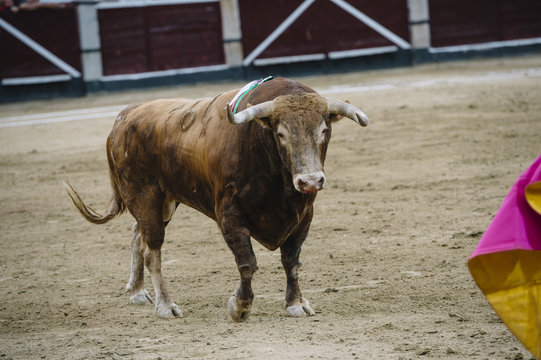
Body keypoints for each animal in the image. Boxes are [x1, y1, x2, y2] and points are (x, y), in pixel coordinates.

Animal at [64, 76, 368, 320]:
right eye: (281, 133)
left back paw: (138, 291)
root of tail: (125, 116)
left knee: (137, 236)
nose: (310, 181)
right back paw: (165, 306)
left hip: (164, 201)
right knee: (152, 250)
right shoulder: (230, 217)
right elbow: (247, 263)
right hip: (144, 196)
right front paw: (240, 306)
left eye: (324, 130)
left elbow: (291, 261)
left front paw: (295, 303)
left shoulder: (303, 216)